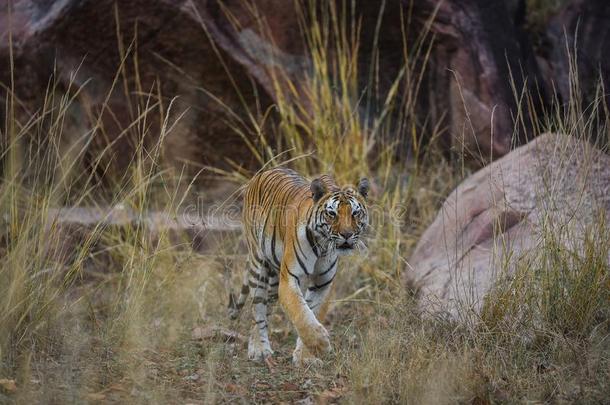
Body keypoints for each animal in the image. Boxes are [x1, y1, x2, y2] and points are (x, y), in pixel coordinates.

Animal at [229, 166, 368, 364]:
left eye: (355, 213)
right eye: (332, 214)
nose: (347, 234)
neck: (323, 246)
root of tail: (264, 172)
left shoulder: (322, 284)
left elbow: (312, 313)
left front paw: (306, 356)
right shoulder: (289, 279)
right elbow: (301, 313)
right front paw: (321, 344)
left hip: (274, 278)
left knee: (266, 307)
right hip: (258, 264)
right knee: (257, 309)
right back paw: (259, 349)